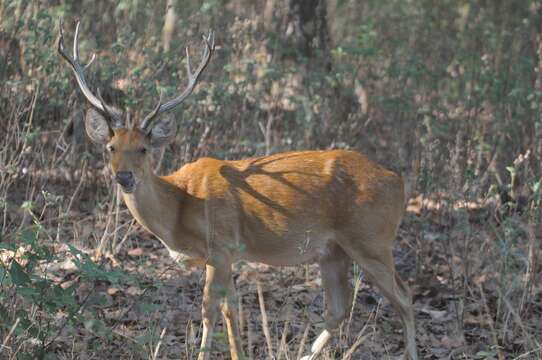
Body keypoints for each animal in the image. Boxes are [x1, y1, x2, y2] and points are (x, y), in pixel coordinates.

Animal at [56, 22, 420, 360]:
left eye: (144, 149)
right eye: (111, 148)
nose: (124, 177)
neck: (180, 207)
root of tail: (398, 182)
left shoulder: (220, 244)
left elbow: (209, 310)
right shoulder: (227, 255)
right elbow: (232, 307)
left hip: (371, 239)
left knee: (404, 298)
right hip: (333, 251)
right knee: (339, 309)